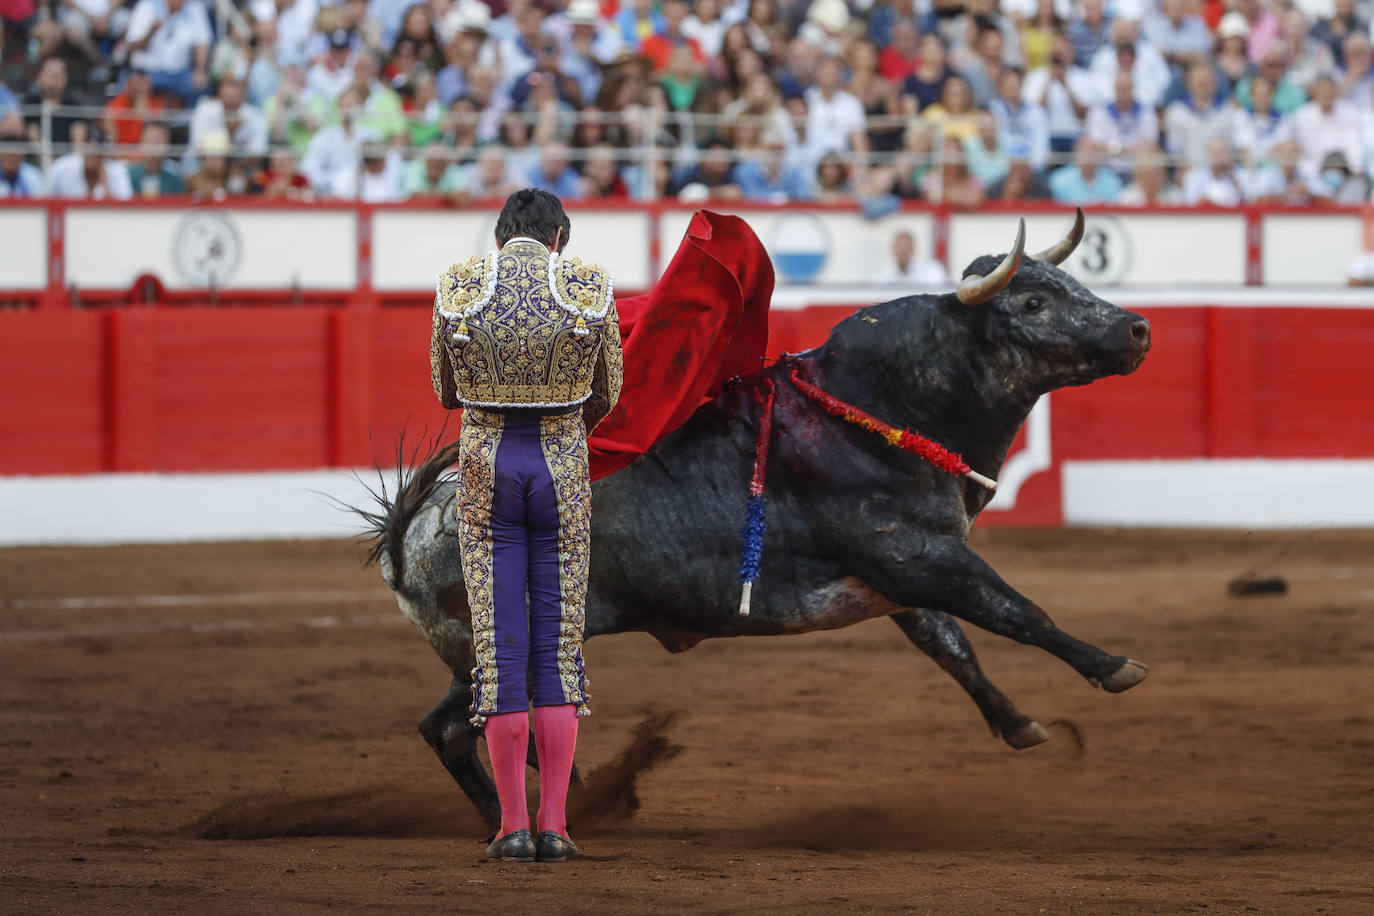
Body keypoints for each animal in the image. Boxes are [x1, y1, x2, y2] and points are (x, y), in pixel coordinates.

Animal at [362, 210, 1148, 829]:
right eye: (1036, 300)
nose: (1138, 327)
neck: (883, 408)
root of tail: (414, 527)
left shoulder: (906, 576)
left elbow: (953, 645)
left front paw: (1019, 724)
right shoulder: (919, 555)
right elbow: (1020, 612)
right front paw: (1115, 667)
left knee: (460, 729)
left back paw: (559, 805)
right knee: (472, 728)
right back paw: (548, 812)